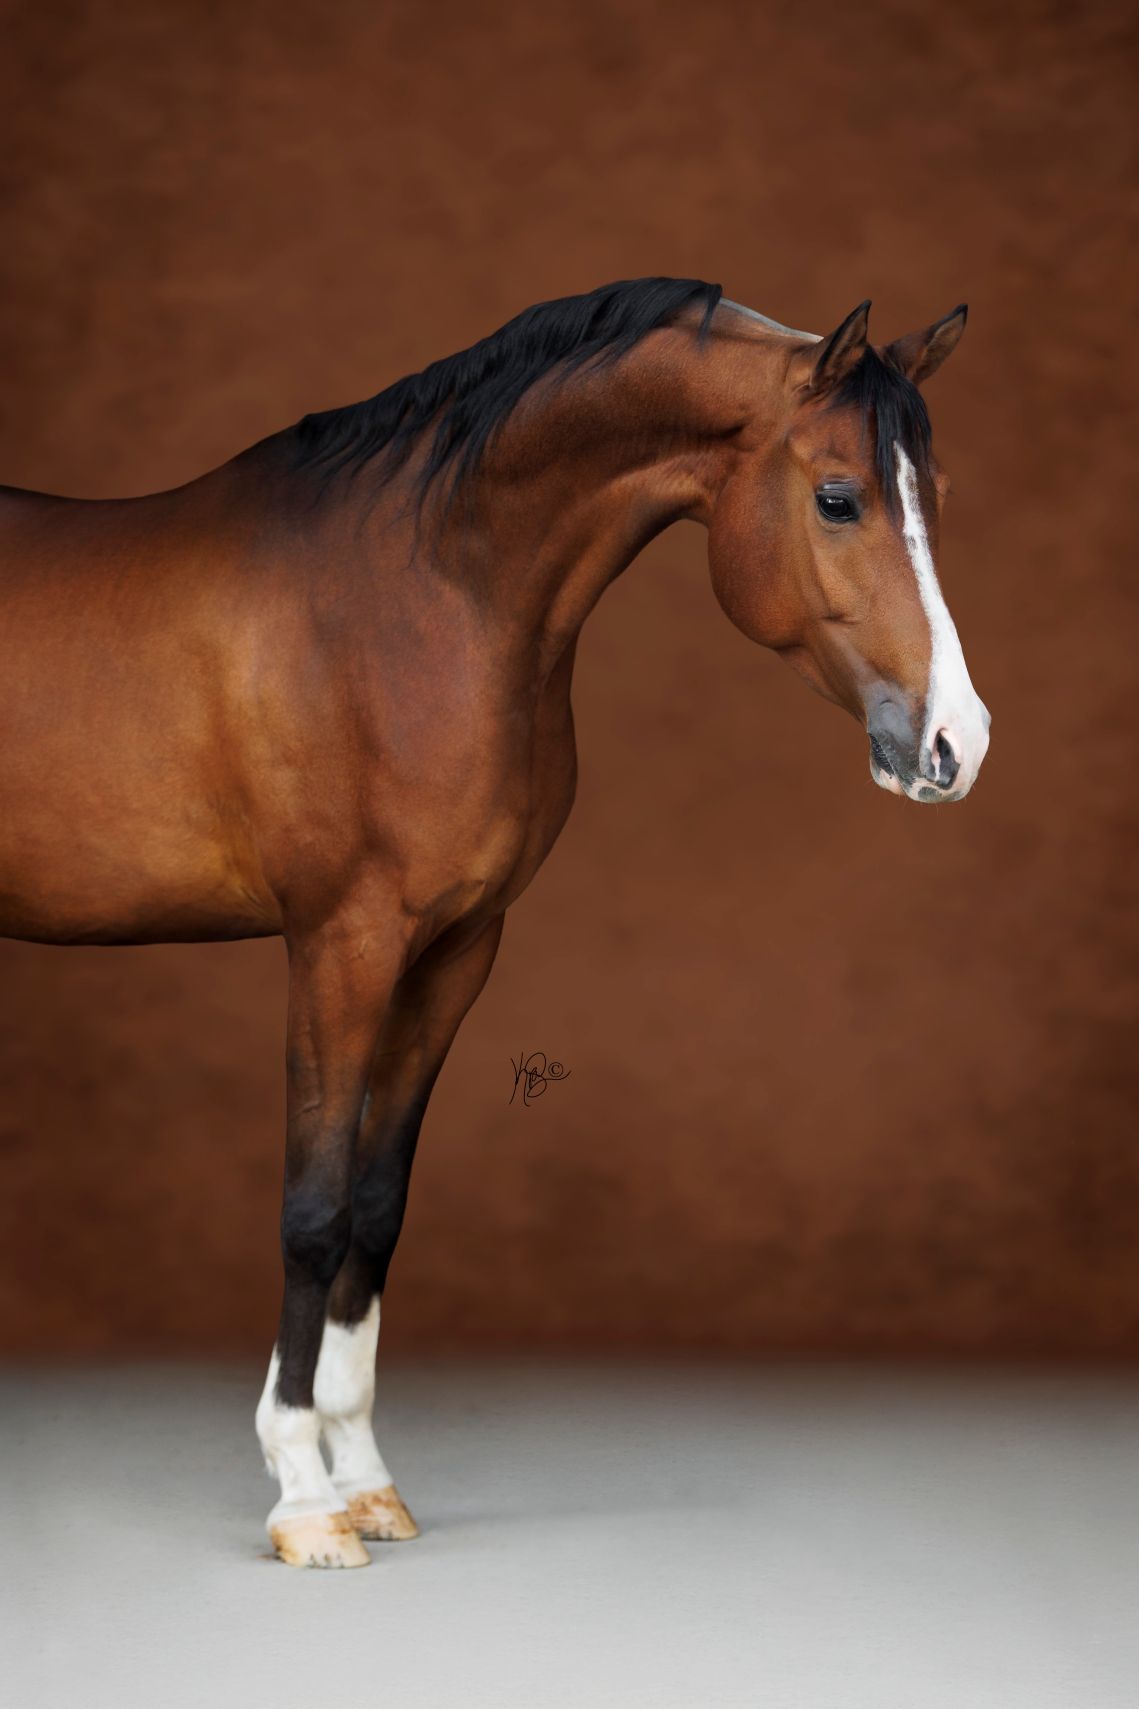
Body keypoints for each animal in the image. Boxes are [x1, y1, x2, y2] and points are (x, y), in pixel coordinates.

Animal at [0, 278, 990, 1567]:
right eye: (837, 496)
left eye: (935, 495)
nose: (956, 744)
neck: (423, 596)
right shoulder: (341, 944)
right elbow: (311, 1209)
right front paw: (302, 1495)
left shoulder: (455, 949)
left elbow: (376, 1207)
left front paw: (365, 1476)